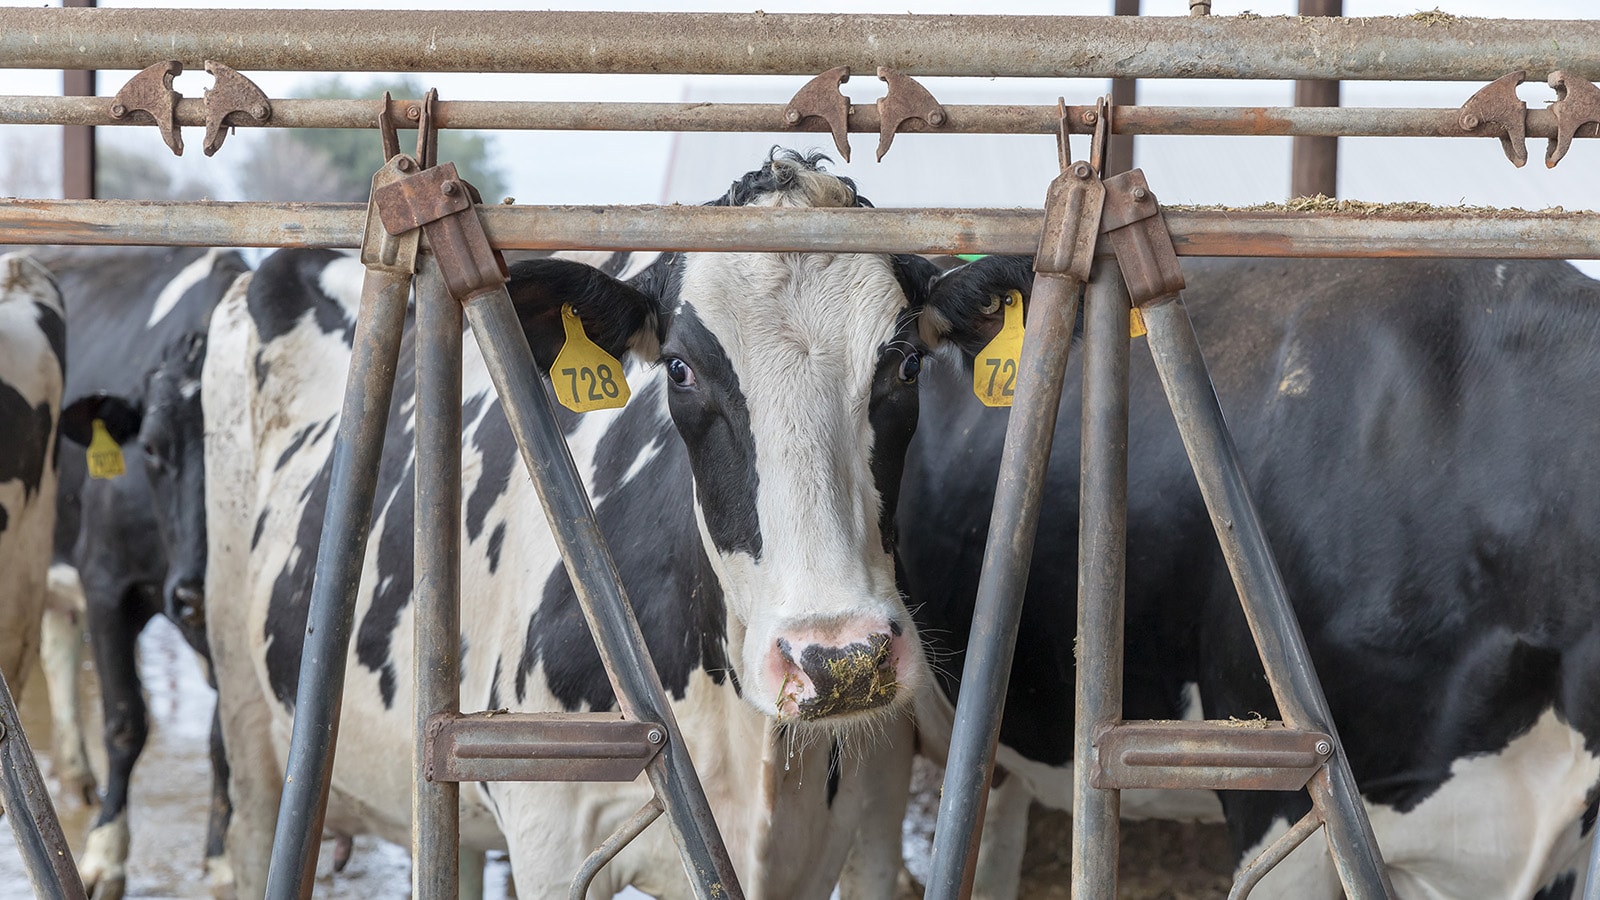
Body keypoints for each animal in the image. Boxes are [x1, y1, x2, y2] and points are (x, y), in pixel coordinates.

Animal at [32, 245, 246, 896]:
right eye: (150, 448)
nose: (196, 592)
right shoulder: (107, 584)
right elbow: (125, 720)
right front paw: (105, 852)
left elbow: (223, 737)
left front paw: (222, 858)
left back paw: (75, 771)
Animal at [200, 150, 1030, 890]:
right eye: (680, 369)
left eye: (907, 365)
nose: (839, 659)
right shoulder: (551, 833)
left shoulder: (862, 825)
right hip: (245, 717)